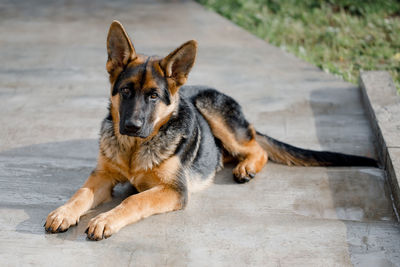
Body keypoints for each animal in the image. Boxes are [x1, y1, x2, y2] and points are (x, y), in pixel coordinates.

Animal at [44, 22, 378, 242]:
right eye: (125, 91)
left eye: (153, 96)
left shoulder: (174, 191)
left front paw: (106, 220)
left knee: (257, 148)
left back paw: (246, 167)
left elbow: (134, 201)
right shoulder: (102, 176)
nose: (131, 127)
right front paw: (64, 211)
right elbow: (82, 192)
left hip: (211, 107)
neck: (134, 149)